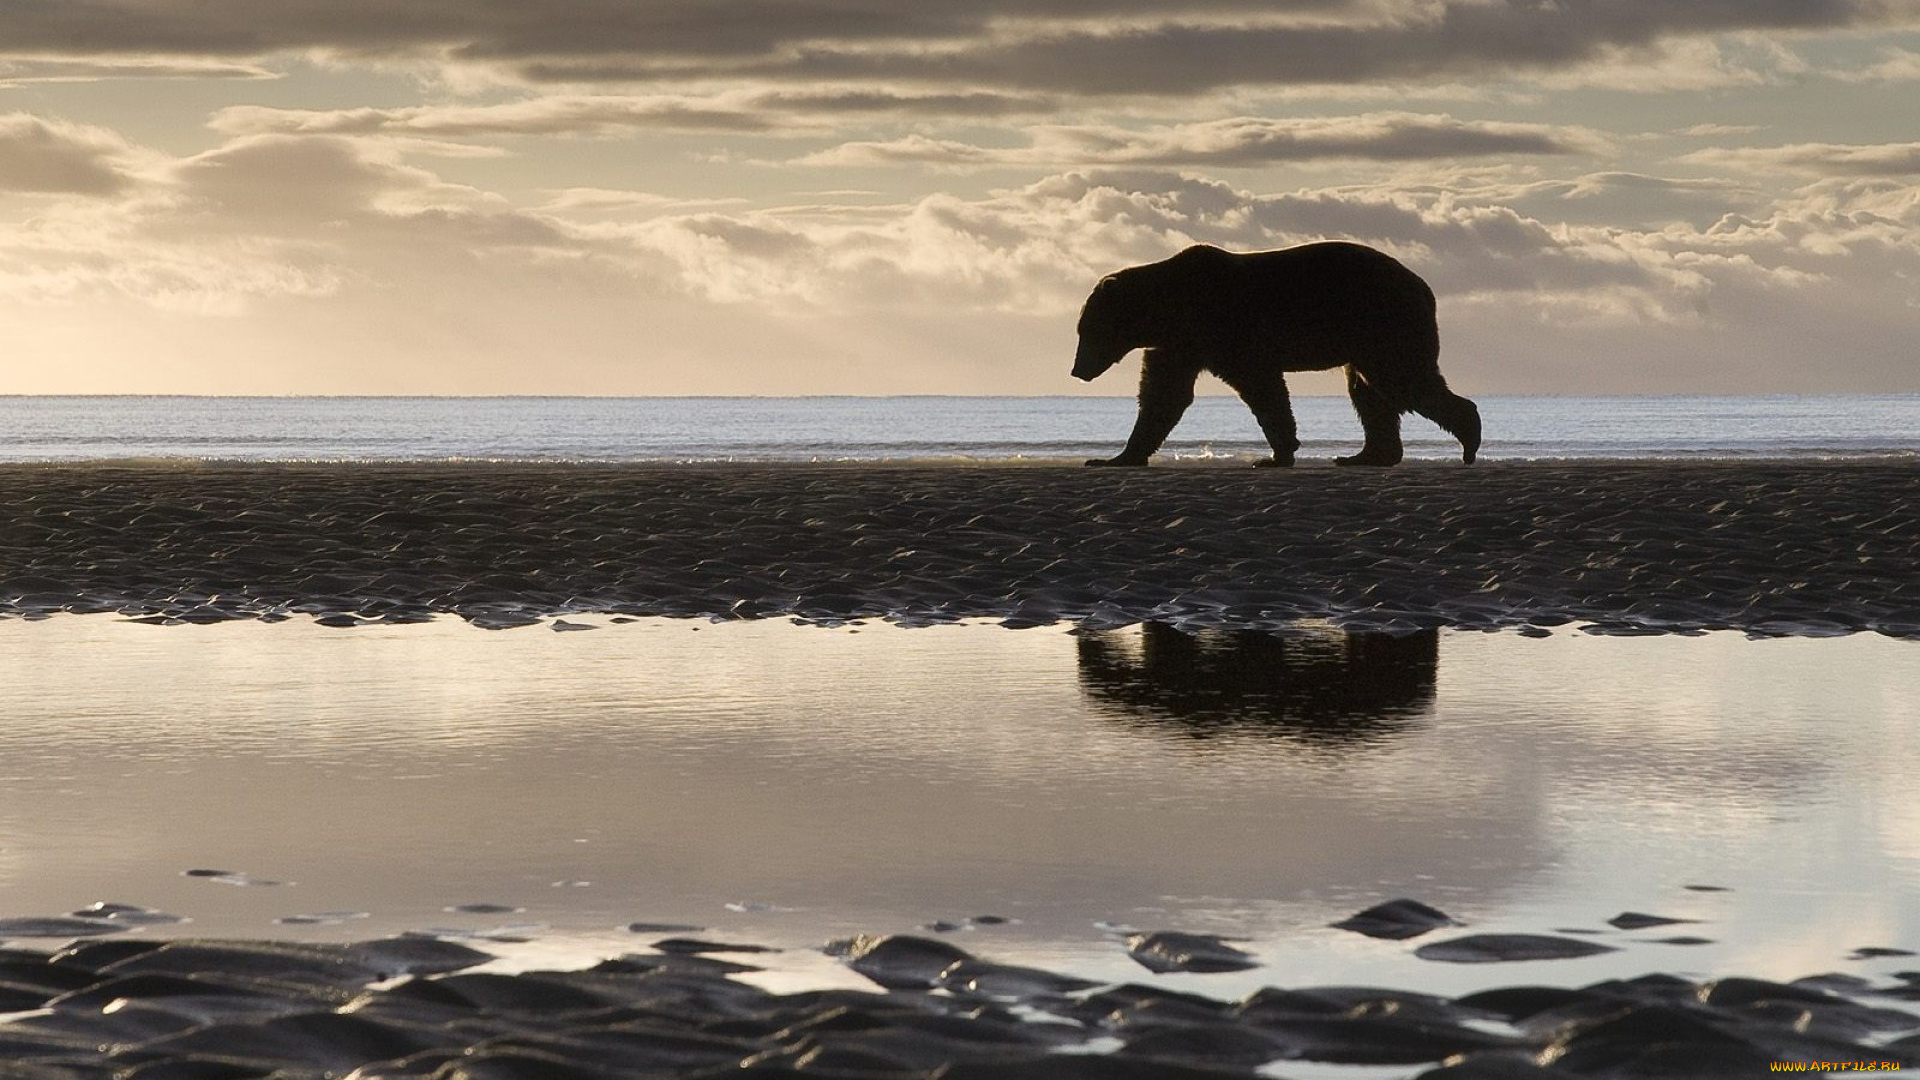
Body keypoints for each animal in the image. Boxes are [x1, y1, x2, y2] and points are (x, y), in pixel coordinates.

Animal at [1075, 242, 1474, 465]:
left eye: (1087, 331)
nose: (1077, 371)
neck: (1170, 309)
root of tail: (1425, 287)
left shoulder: (1225, 330)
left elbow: (1261, 387)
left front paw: (1276, 454)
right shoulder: (1180, 344)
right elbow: (1163, 395)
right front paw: (1116, 457)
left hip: (1382, 323)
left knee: (1402, 380)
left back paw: (1469, 435)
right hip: (1367, 338)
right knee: (1369, 393)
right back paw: (1366, 456)